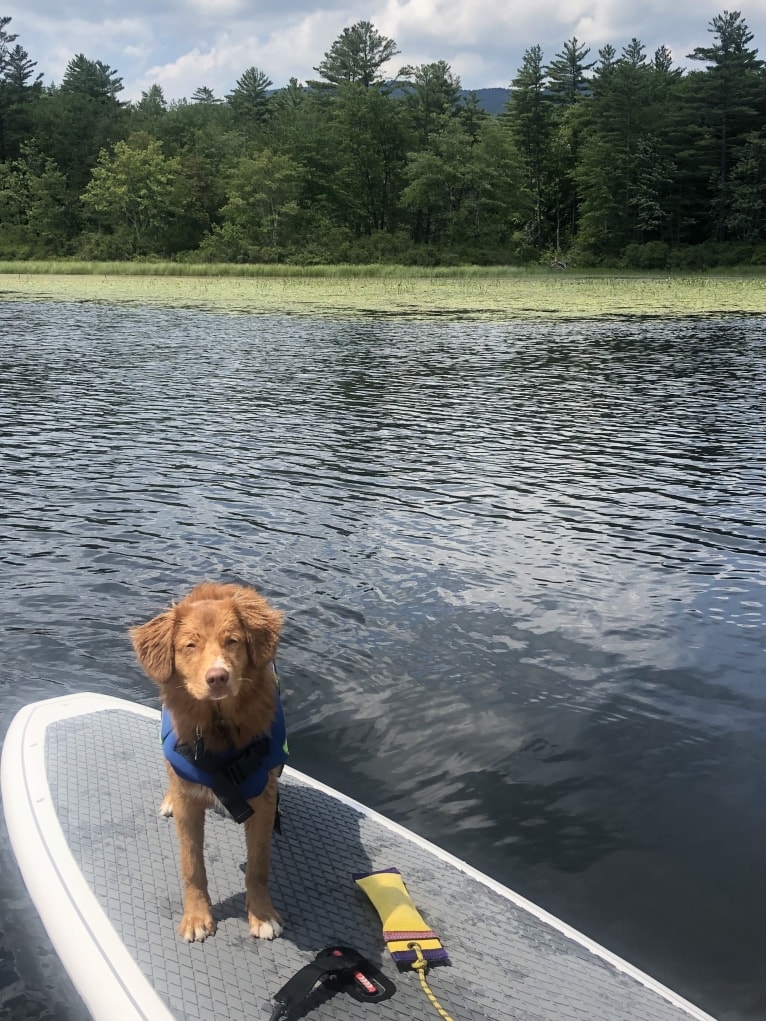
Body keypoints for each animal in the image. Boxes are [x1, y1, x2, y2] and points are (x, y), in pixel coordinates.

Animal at [131, 584, 288, 939]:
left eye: (233, 640)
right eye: (190, 645)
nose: (218, 677)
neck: (219, 727)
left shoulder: (262, 797)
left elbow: (258, 864)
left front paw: (262, 914)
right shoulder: (189, 802)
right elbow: (192, 865)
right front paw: (196, 916)